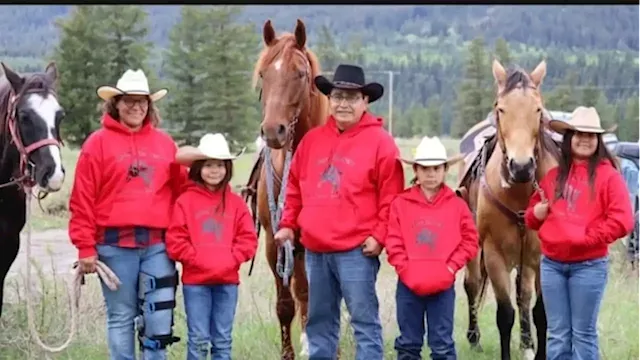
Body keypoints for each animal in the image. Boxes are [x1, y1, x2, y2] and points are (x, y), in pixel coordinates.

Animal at [456, 59, 560, 360]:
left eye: (538, 109)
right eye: (500, 108)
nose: (521, 166)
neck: (521, 195)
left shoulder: (541, 256)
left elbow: (540, 313)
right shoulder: (494, 254)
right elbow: (504, 315)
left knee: (523, 295)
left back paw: (526, 343)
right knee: (472, 284)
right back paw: (475, 339)